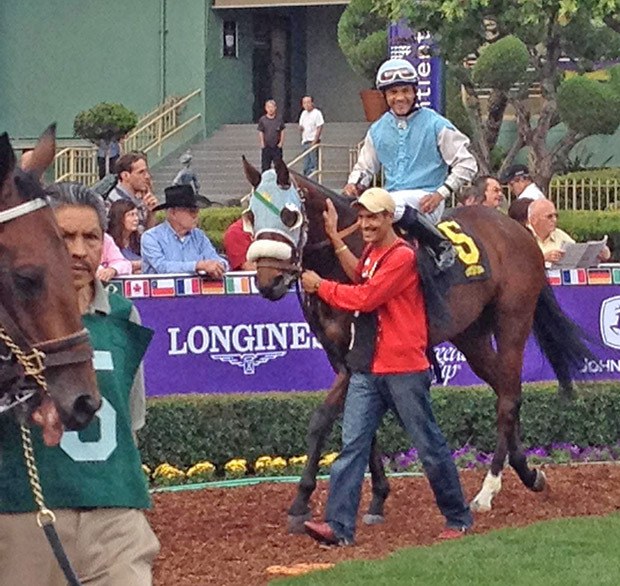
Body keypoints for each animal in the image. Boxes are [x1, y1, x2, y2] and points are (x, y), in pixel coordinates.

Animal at [241, 156, 592, 528]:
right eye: (250, 216)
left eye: (288, 215)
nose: (269, 281)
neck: (346, 260)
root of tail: (514, 228)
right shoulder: (341, 357)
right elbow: (362, 426)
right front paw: (378, 497)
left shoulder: (354, 358)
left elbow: (323, 419)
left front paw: (301, 500)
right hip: (471, 335)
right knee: (506, 390)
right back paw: (528, 472)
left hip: (513, 321)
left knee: (509, 397)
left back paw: (488, 489)